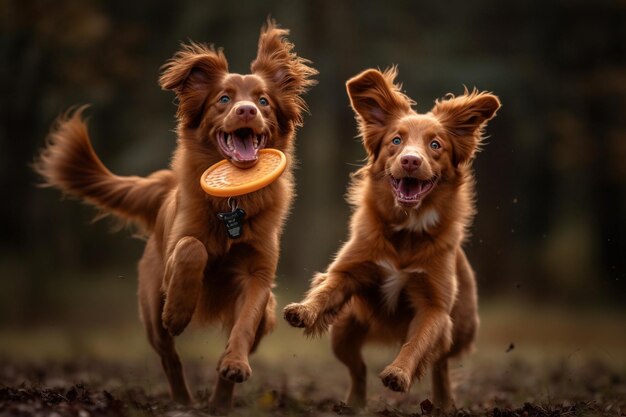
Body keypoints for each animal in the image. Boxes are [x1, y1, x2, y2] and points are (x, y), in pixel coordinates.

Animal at [34, 20, 316, 412]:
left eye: (263, 101)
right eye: (224, 99)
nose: (247, 111)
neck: (232, 204)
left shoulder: (258, 275)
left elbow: (244, 322)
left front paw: (235, 363)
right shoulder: (177, 250)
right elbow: (191, 248)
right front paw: (179, 311)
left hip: (270, 311)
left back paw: (219, 400)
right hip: (151, 310)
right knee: (169, 355)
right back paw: (182, 397)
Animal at [284, 67, 498, 410]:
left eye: (435, 144)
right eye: (396, 141)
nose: (411, 160)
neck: (406, 231)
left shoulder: (435, 308)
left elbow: (418, 343)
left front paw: (398, 373)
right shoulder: (351, 270)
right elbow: (327, 287)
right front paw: (304, 309)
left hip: (459, 327)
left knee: (440, 364)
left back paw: (442, 404)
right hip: (343, 330)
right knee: (357, 369)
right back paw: (353, 405)